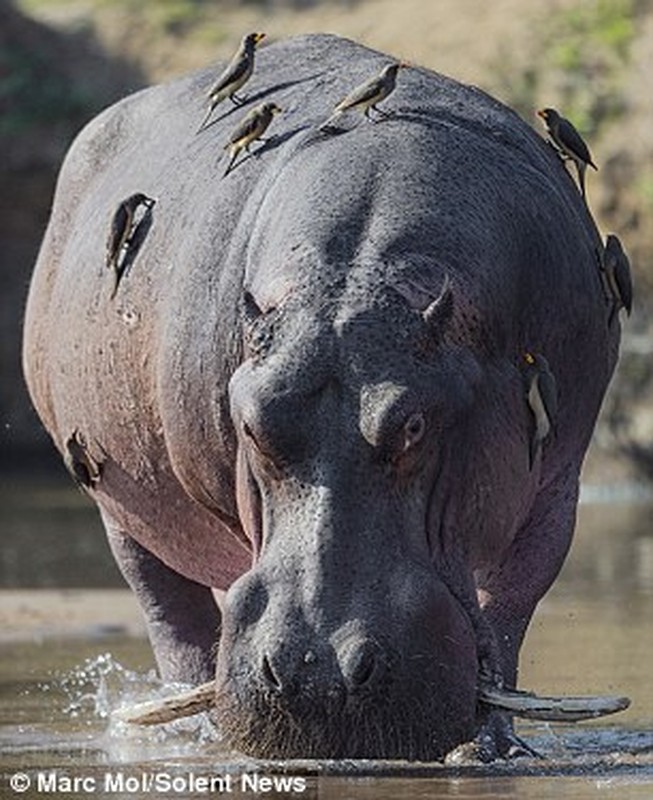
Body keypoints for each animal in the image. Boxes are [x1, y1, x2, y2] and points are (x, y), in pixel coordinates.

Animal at [22, 34, 620, 760]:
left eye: (414, 425)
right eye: (250, 422)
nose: (318, 673)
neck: (355, 285)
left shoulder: (557, 488)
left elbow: (507, 616)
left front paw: (488, 748)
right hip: (120, 510)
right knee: (172, 617)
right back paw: (198, 735)